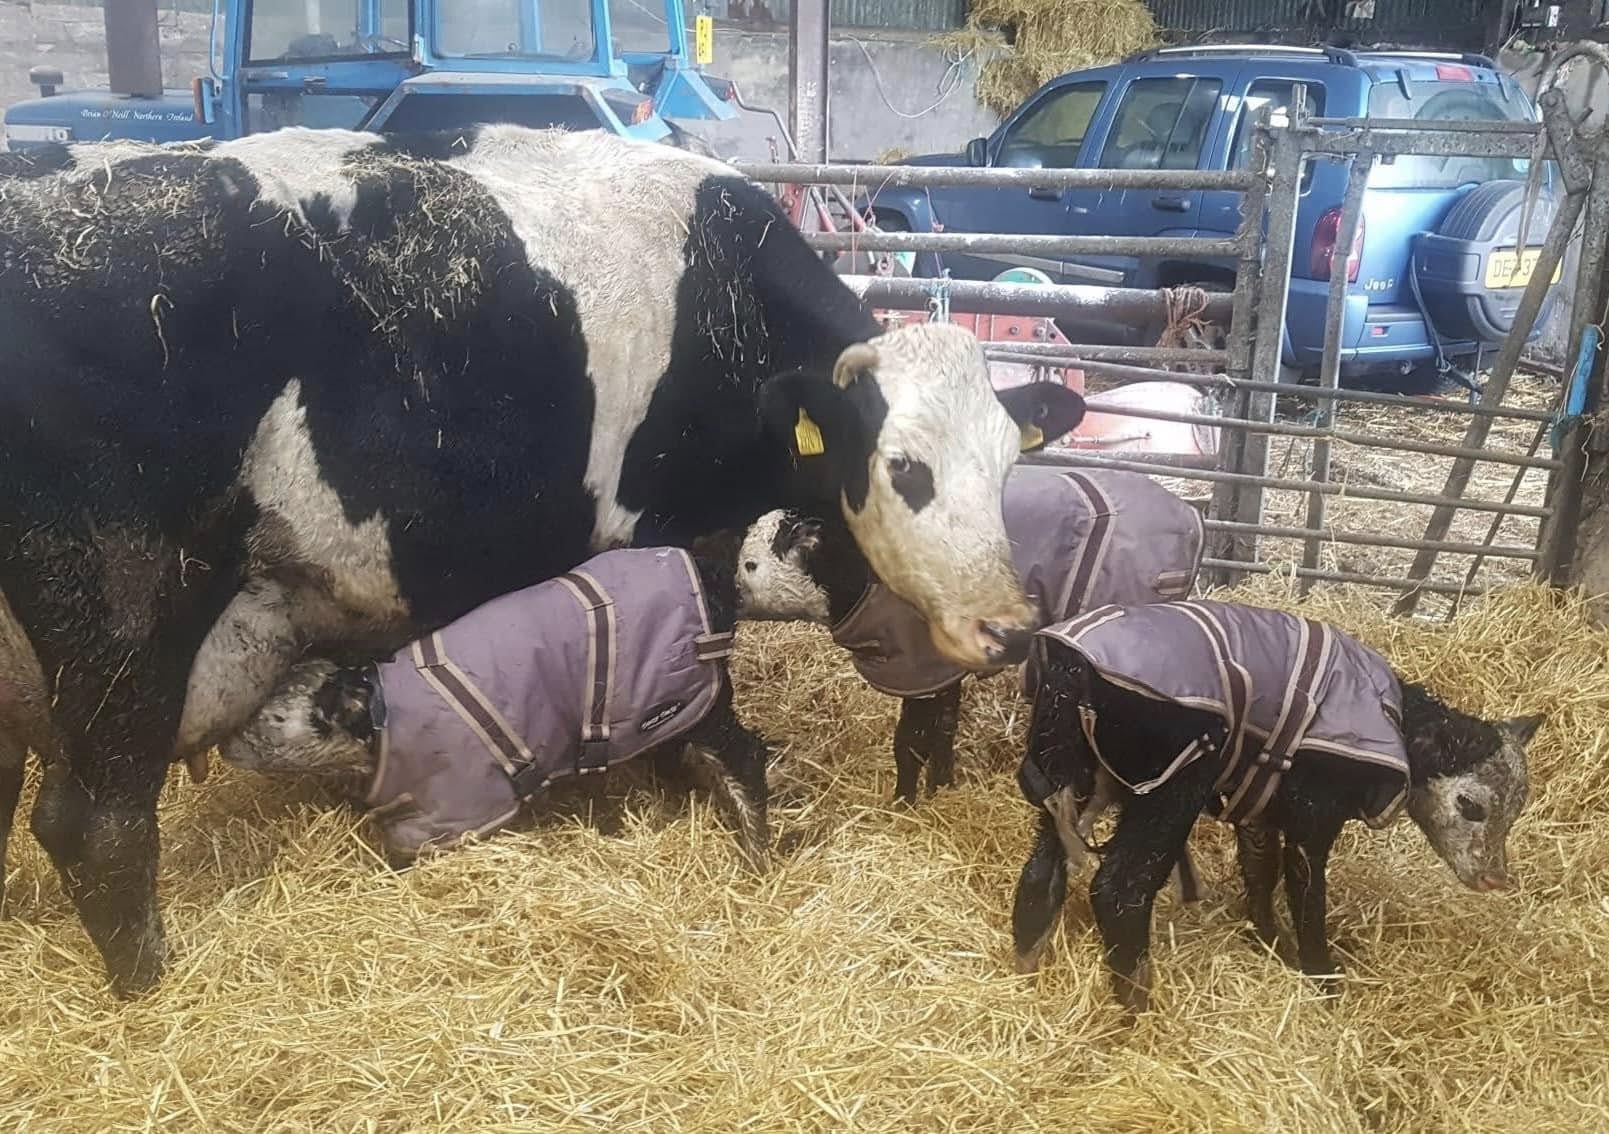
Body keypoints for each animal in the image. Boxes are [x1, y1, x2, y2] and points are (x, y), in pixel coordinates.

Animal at [0, 126, 1087, 990]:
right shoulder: (677, 543)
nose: (1005, 628)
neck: (724, 292)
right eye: (904, 468)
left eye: (1005, 463)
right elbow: (698, 718)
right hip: (127, 622)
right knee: (96, 824)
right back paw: (150, 990)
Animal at [1004, 601, 1544, 1010]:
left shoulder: (1260, 806)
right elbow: (1306, 890)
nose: (1495, 878)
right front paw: (1322, 976)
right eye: (1471, 806)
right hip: (1172, 784)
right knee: (1120, 891)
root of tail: (1077, 673)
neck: (1395, 721)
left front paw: (1269, 940)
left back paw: (1029, 969)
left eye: (1515, 810)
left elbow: (1260, 869)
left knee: (1041, 872)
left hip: (1062, 768)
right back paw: (1140, 1007)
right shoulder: (1313, 815)